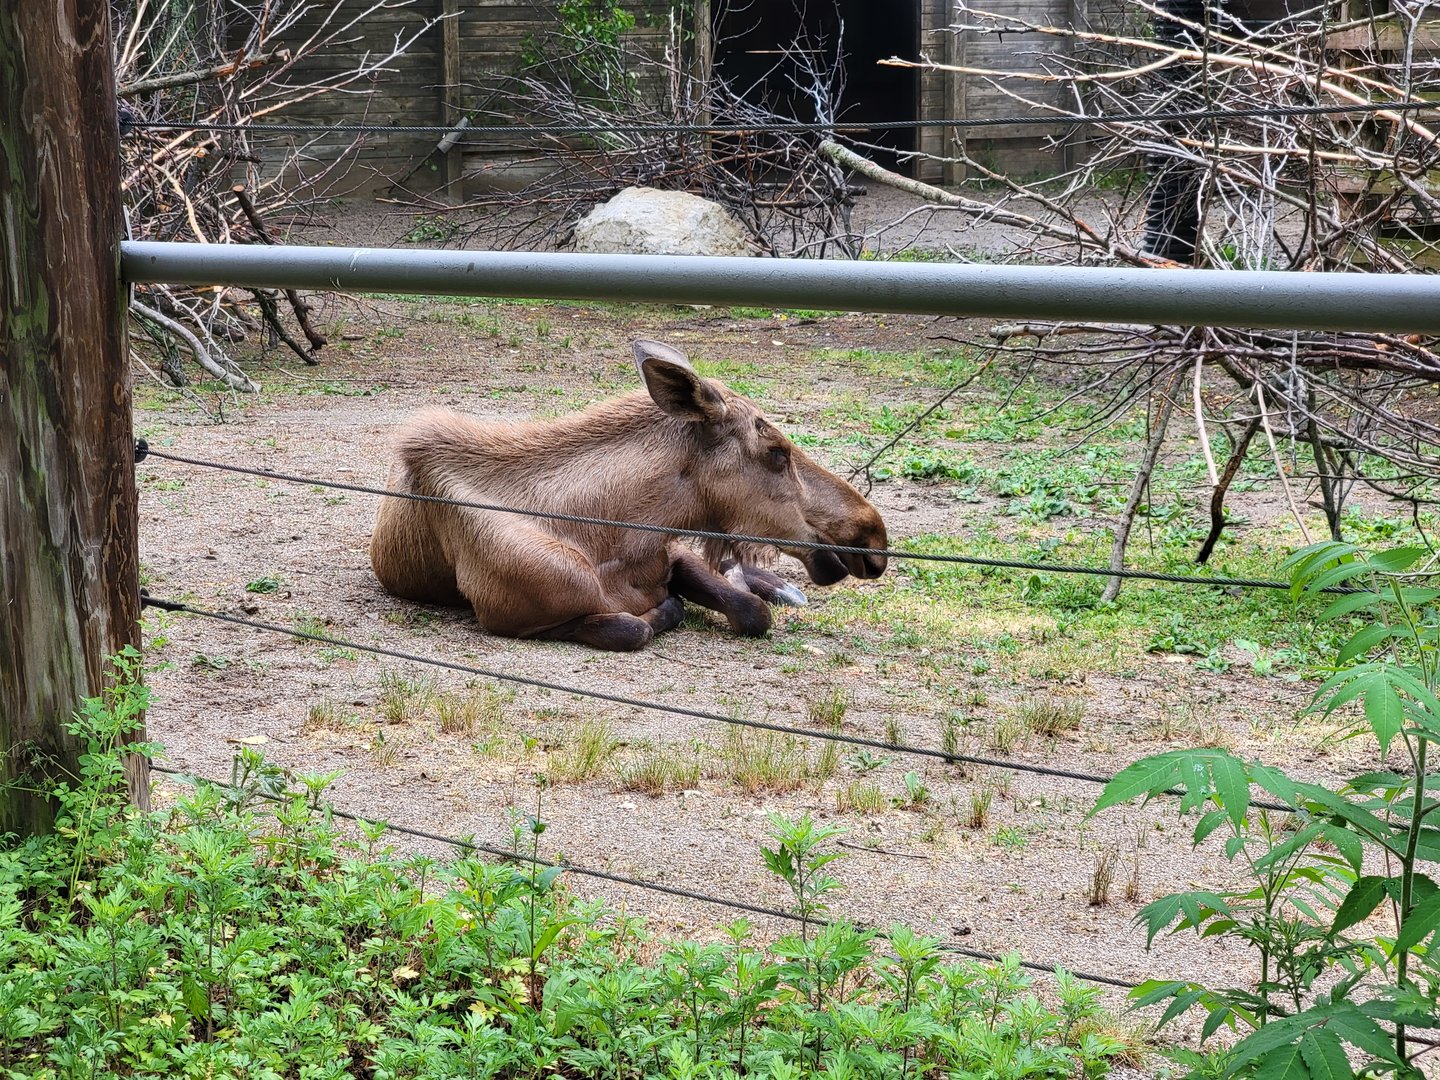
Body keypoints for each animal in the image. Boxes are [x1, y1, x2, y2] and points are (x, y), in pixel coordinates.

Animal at [370, 340, 888, 651]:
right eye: (777, 451)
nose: (873, 536)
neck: (609, 538)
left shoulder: (673, 552)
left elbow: (749, 609)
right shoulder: (510, 618)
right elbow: (636, 624)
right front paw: (668, 608)